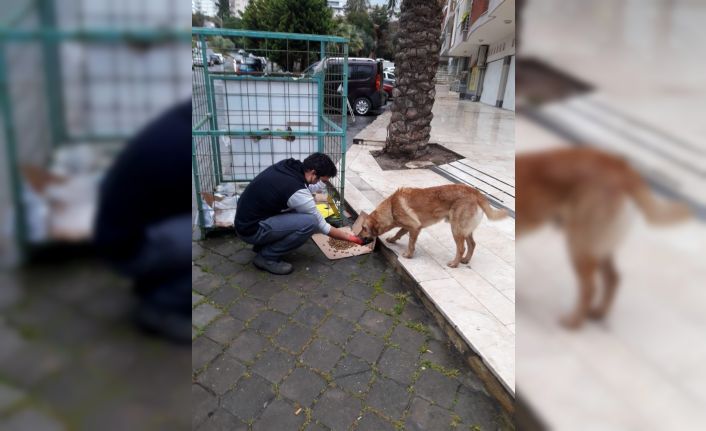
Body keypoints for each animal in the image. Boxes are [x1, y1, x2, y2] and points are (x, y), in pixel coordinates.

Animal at [358, 184, 506, 268]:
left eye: (364, 228)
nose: (357, 236)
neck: (391, 207)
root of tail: (475, 192)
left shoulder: (414, 227)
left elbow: (411, 243)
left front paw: (409, 255)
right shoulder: (409, 226)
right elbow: (399, 232)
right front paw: (392, 240)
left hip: (456, 228)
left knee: (462, 248)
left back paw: (455, 263)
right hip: (465, 229)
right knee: (472, 244)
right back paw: (465, 260)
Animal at [516, 147, 692, 330]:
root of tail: (619, 165)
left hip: (580, 243)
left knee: (590, 288)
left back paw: (574, 322)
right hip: (597, 246)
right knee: (614, 277)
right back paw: (599, 312)